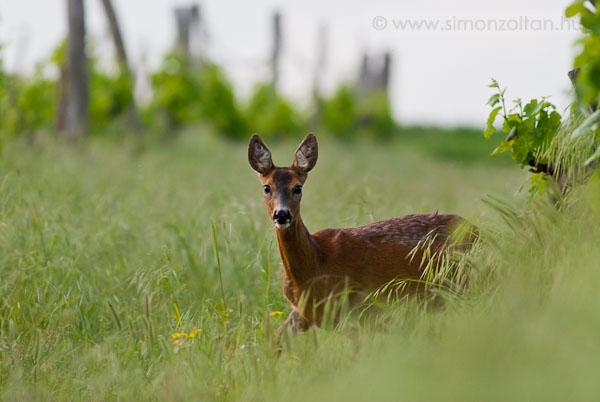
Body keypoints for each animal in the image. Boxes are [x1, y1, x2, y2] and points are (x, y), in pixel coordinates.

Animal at [248, 133, 474, 332]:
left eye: (298, 188)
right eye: (266, 187)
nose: (282, 214)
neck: (316, 266)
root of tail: (478, 230)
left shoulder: (356, 311)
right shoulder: (303, 313)